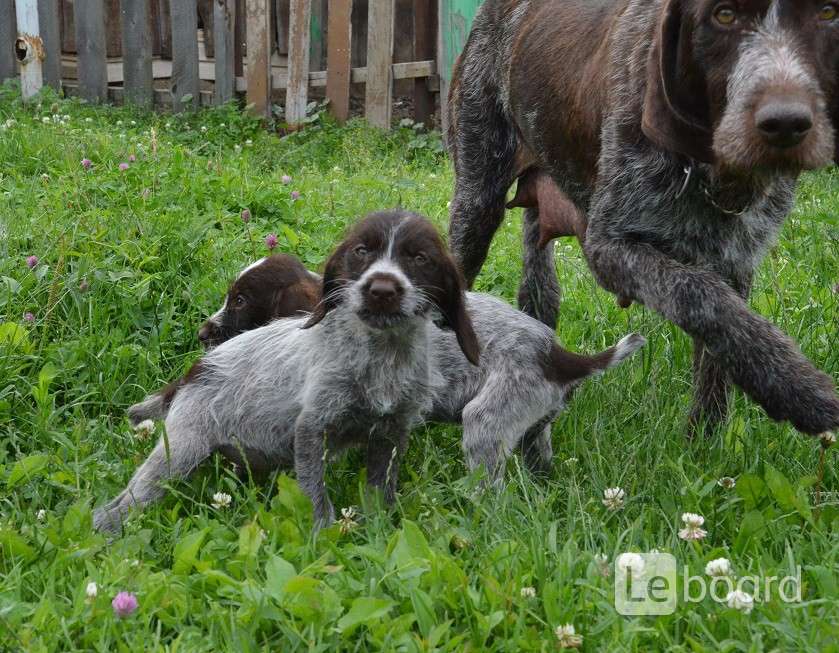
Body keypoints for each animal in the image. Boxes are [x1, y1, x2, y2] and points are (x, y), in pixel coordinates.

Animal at [94, 211, 476, 532]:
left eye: (420, 259)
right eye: (361, 251)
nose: (382, 290)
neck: (381, 353)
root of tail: (196, 370)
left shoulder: (391, 432)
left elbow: (380, 489)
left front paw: (379, 529)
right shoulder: (311, 428)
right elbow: (315, 493)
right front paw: (322, 535)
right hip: (182, 449)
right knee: (123, 502)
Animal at [450, 2, 836, 438]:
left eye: (826, 14)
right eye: (723, 16)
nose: (786, 123)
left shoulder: (736, 257)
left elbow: (721, 342)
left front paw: (705, 438)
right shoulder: (610, 246)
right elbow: (699, 292)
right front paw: (798, 391)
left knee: (538, 289)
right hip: (477, 201)